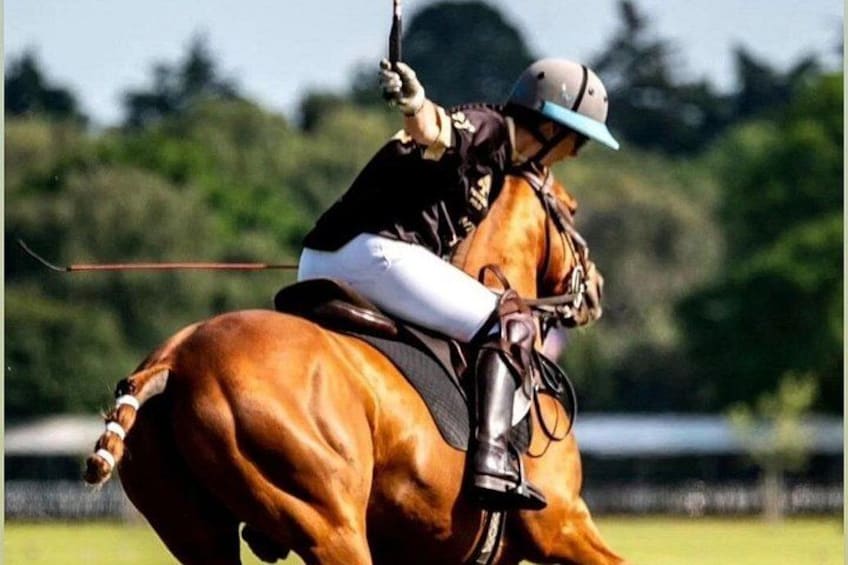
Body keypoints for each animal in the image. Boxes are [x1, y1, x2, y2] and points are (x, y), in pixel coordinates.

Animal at [83, 171, 624, 565]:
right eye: (572, 206)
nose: (595, 286)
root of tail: (174, 358)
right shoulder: (563, 526)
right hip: (331, 528)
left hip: (199, 536)